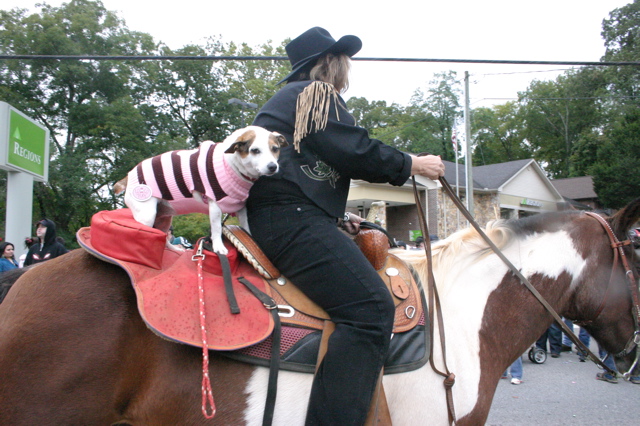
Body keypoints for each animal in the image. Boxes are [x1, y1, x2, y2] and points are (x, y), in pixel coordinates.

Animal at [114, 125, 286, 255]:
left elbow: (247, 229)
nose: (273, 166)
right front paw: (219, 247)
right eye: (255, 150)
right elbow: (216, 229)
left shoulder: (241, 209)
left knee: (163, 237)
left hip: (164, 218)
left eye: (275, 149)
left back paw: (175, 250)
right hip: (147, 216)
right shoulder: (215, 207)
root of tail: (129, 176)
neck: (231, 165)